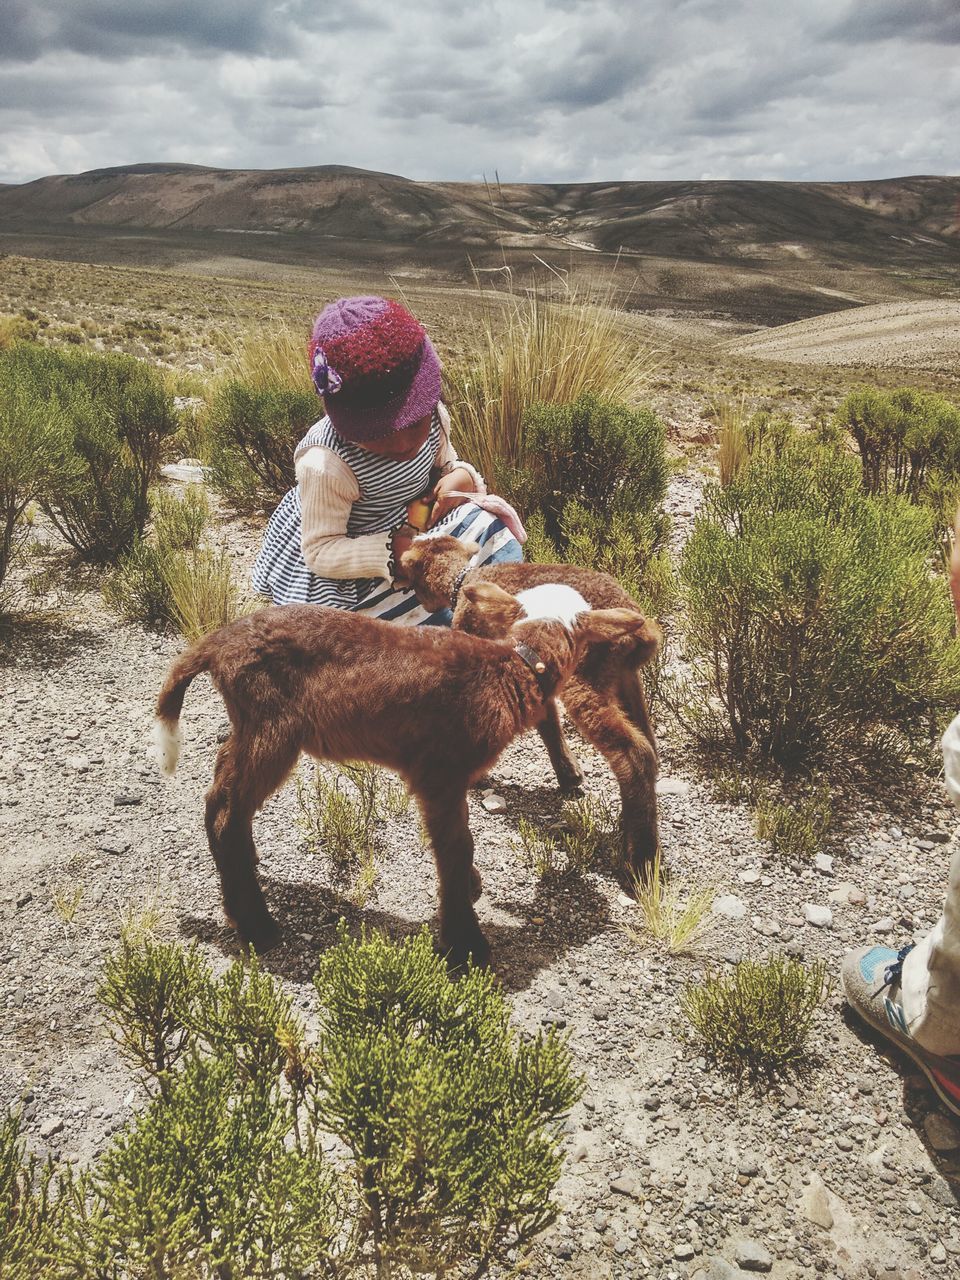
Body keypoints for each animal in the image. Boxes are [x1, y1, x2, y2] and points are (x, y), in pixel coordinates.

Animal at [154, 586, 650, 962]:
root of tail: (216, 644)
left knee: (221, 791)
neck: (513, 667)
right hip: (271, 724)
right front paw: (465, 942)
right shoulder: (440, 771)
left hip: (249, 721)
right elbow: (455, 847)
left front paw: (470, 892)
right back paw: (256, 926)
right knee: (224, 807)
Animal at [401, 535, 665, 875]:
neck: (462, 583)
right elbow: (549, 724)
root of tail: (643, 630)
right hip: (625, 678)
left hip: (586, 680)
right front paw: (570, 776)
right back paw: (629, 826)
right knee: (649, 745)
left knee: (634, 752)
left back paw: (640, 859)